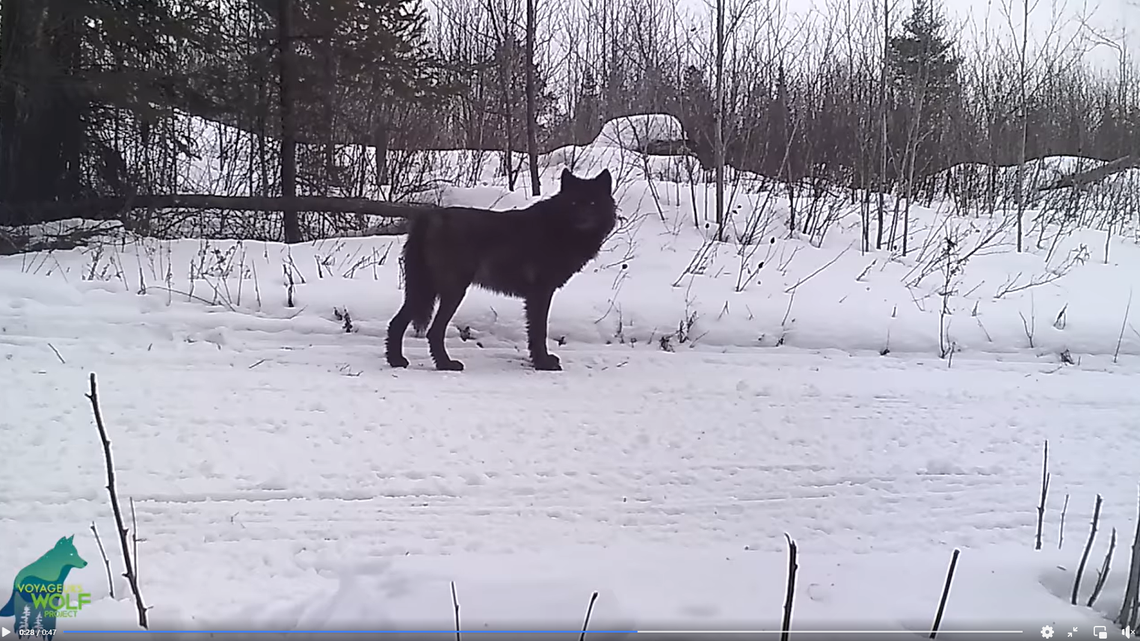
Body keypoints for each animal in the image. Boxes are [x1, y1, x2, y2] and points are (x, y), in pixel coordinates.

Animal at [385, 167, 617, 372]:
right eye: (574, 202)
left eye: (593, 202)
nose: (582, 218)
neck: (559, 229)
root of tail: (429, 217)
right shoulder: (540, 293)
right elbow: (539, 331)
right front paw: (543, 363)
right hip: (452, 291)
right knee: (433, 331)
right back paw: (446, 364)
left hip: (425, 290)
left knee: (397, 322)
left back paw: (397, 360)